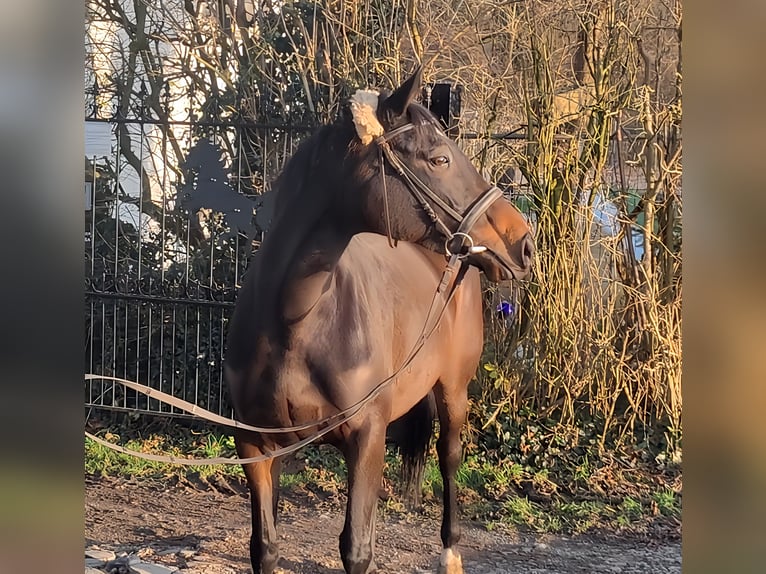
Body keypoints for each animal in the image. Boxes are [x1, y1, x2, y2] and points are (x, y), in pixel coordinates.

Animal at [224, 68, 536, 574]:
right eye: (439, 158)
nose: (523, 242)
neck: (296, 321)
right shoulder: (254, 445)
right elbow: (265, 545)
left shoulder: (367, 440)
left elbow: (357, 547)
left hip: (454, 391)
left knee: (449, 458)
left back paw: (450, 553)